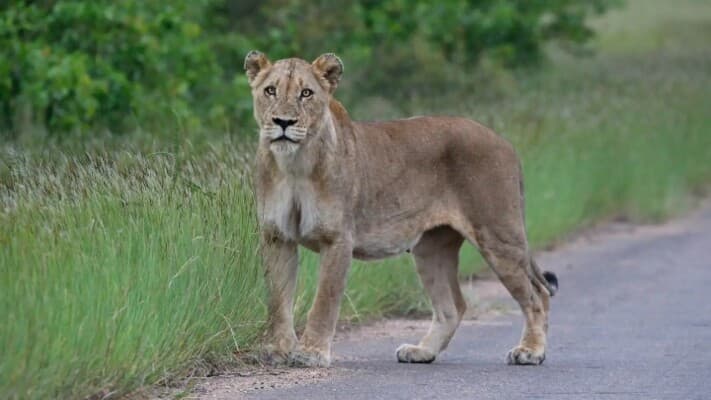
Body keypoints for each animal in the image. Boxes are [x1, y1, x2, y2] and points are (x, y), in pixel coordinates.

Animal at [244, 51, 558, 368]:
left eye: (306, 93)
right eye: (270, 91)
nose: (283, 121)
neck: (293, 165)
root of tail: (505, 143)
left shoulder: (337, 239)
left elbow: (324, 300)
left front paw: (312, 352)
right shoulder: (276, 237)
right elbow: (278, 299)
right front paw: (278, 350)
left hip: (498, 235)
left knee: (538, 294)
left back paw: (530, 351)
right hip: (431, 248)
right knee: (453, 306)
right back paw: (422, 351)